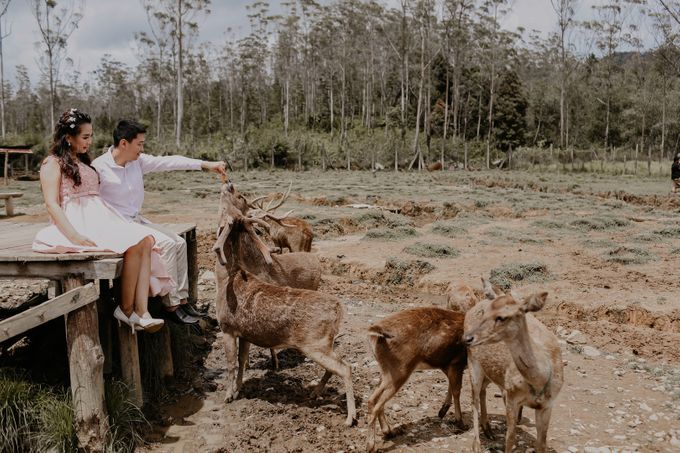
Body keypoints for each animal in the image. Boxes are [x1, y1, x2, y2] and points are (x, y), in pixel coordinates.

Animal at [214, 182, 358, 426]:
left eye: (225, 213)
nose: (228, 184)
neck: (226, 279)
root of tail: (338, 309)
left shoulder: (227, 327)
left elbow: (231, 363)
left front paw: (228, 396)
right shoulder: (244, 332)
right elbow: (242, 361)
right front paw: (239, 389)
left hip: (314, 343)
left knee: (345, 368)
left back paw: (350, 418)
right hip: (324, 343)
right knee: (339, 364)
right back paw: (315, 392)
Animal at [366, 306, 468, 450]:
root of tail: (376, 333)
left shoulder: (448, 364)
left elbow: (451, 386)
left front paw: (442, 411)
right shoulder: (458, 361)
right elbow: (457, 391)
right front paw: (461, 423)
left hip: (386, 370)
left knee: (372, 399)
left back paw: (389, 432)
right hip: (400, 369)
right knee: (376, 402)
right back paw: (371, 445)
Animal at [462, 278, 564, 452]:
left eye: (502, 317)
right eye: (484, 313)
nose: (467, 338)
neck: (540, 381)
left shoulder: (548, 404)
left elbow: (541, 444)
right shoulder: (511, 397)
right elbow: (510, 439)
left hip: (491, 374)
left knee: (482, 391)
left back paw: (488, 430)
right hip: (473, 364)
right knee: (473, 398)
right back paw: (477, 445)